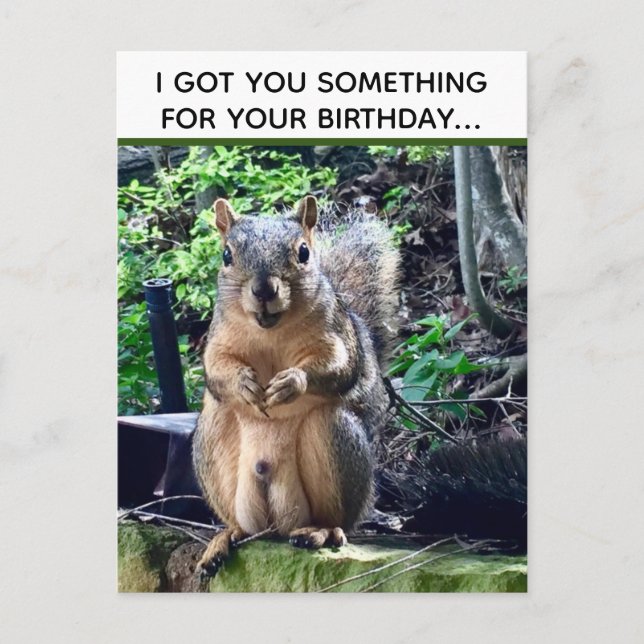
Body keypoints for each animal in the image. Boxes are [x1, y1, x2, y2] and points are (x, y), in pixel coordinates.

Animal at [192, 195, 400, 576]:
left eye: (304, 252)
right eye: (226, 255)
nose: (263, 289)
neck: (270, 330)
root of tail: (277, 523)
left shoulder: (336, 335)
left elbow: (340, 366)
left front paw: (291, 383)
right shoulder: (218, 339)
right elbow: (216, 369)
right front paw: (243, 383)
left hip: (334, 438)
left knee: (336, 519)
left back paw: (321, 531)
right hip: (213, 441)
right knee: (243, 527)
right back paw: (224, 538)